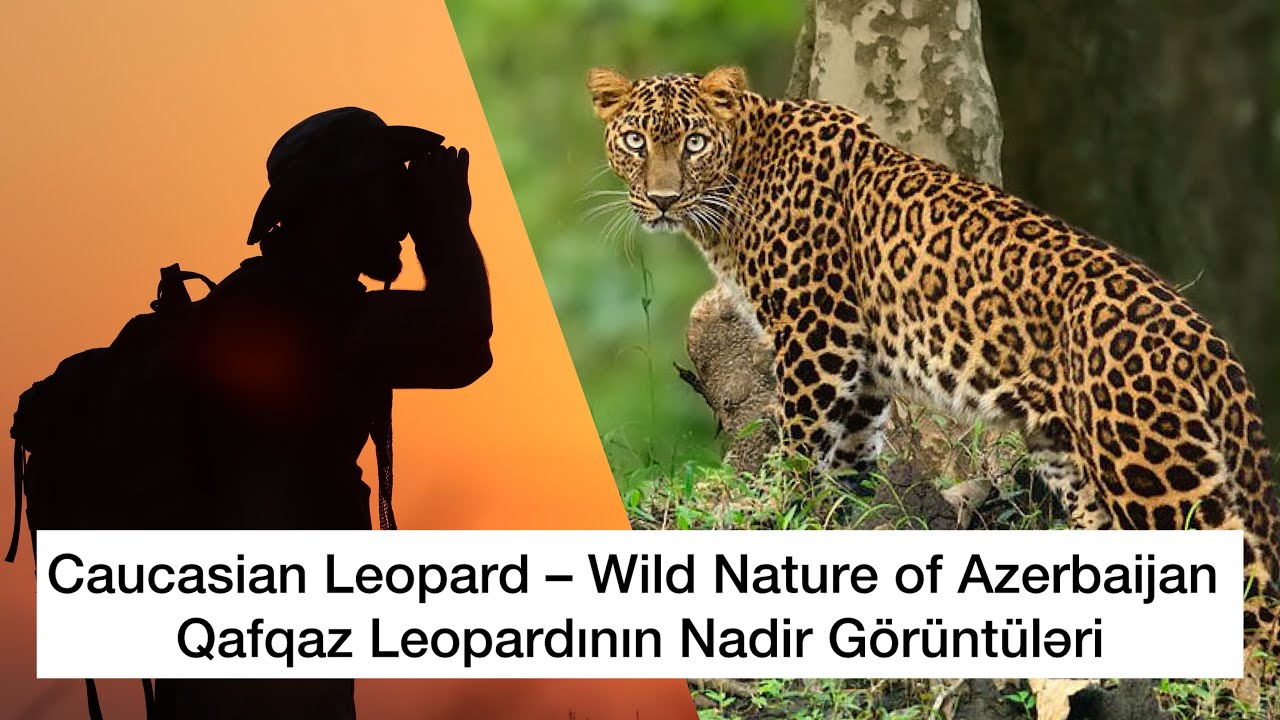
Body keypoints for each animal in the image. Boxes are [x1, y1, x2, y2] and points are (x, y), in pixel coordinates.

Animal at [587, 65, 1280, 683]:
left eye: (694, 143)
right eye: (637, 141)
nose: (663, 199)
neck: (737, 185)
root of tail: (1205, 338)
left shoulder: (817, 332)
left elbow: (800, 436)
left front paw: (771, 511)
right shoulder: (861, 365)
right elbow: (851, 454)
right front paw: (845, 528)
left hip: (1153, 469)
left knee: (1249, 593)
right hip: (1069, 456)